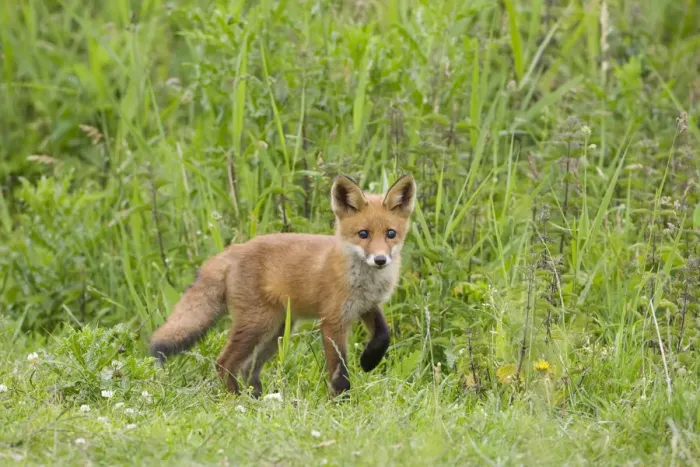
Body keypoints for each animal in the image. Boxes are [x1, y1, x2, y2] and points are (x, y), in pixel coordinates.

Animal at [149, 174, 417, 397]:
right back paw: (236, 400)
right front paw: (342, 402)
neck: (363, 280)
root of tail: (234, 249)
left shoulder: (366, 306)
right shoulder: (332, 320)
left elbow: (383, 334)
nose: (380, 259)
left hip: (275, 331)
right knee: (224, 363)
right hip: (258, 324)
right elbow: (339, 372)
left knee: (248, 368)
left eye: (391, 234)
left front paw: (369, 361)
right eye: (363, 234)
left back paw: (257, 399)